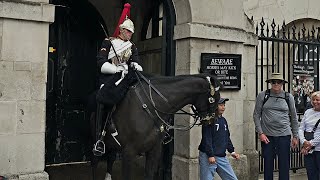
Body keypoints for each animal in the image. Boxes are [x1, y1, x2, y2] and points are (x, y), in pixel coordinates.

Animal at [90, 73, 220, 180]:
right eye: (213, 99)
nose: (212, 122)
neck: (151, 106)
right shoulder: (128, 152)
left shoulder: (154, 150)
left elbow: (149, 175)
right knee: (95, 162)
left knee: (110, 157)